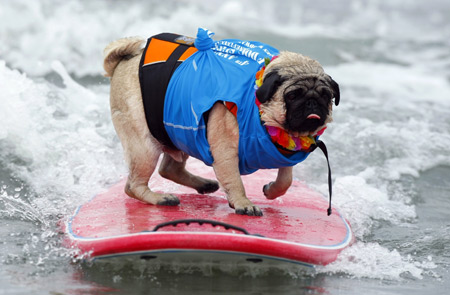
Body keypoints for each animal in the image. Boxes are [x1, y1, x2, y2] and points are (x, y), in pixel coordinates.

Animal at [103, 31, 340, 217]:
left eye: (326, 96)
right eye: (292, 95)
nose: (312, 102)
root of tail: (122, 61)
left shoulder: (283, 151)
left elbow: (286, 179)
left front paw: (272, 191)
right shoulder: (226, 152)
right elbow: (235, 181)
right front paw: (244, 204)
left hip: (182, 130)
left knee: (168, 168)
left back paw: (203, 184)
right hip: (145, 147)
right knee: (132, 185)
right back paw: (160, 198)